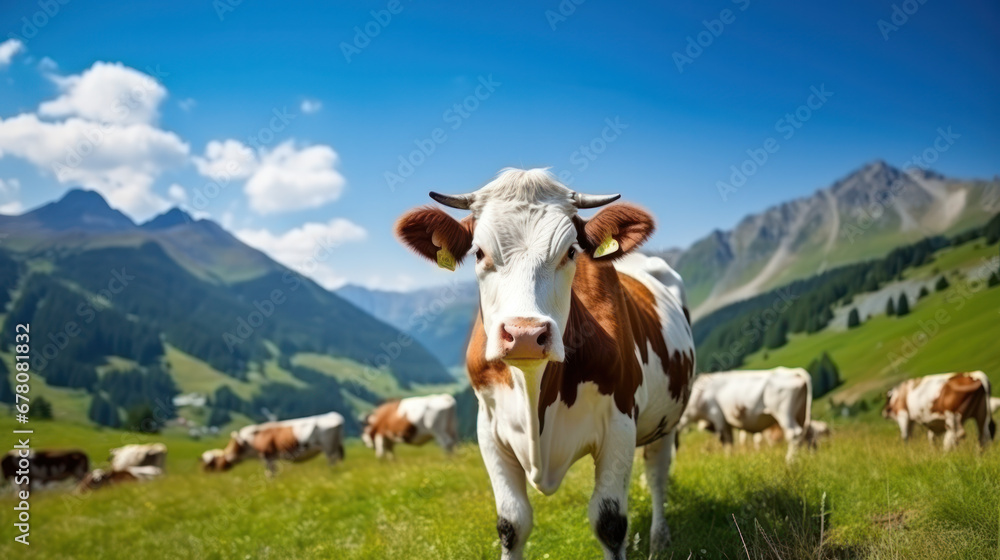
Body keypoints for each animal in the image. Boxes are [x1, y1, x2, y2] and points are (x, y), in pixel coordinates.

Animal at [213, 412, 346, 476]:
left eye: (234, 445)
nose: (228, 458)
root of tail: (335, 416)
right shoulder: (272, 457)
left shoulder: (268, 456)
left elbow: (270, 473)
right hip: (335, 445)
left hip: (328, 447)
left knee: (332, 460)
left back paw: (330, 471)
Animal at [392, 168, 696, 560]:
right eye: (479, 252)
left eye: (570, 251)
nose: (524, 333)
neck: (535, 391)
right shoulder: (488, 428)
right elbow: (512, 523)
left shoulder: (620, 422)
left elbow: (610, 523)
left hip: (667, 417)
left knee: (658, 473)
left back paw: (660, 538)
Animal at [680, 366, 812, 462]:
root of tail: (794, 372)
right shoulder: (726, 423)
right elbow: (730, 441)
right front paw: (730, 459)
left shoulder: (717, 416)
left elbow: (725, 441)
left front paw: (727, 459)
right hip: (801, 414)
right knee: (804, 435)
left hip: (783, 412)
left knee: (794, 433)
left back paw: (790, 461)